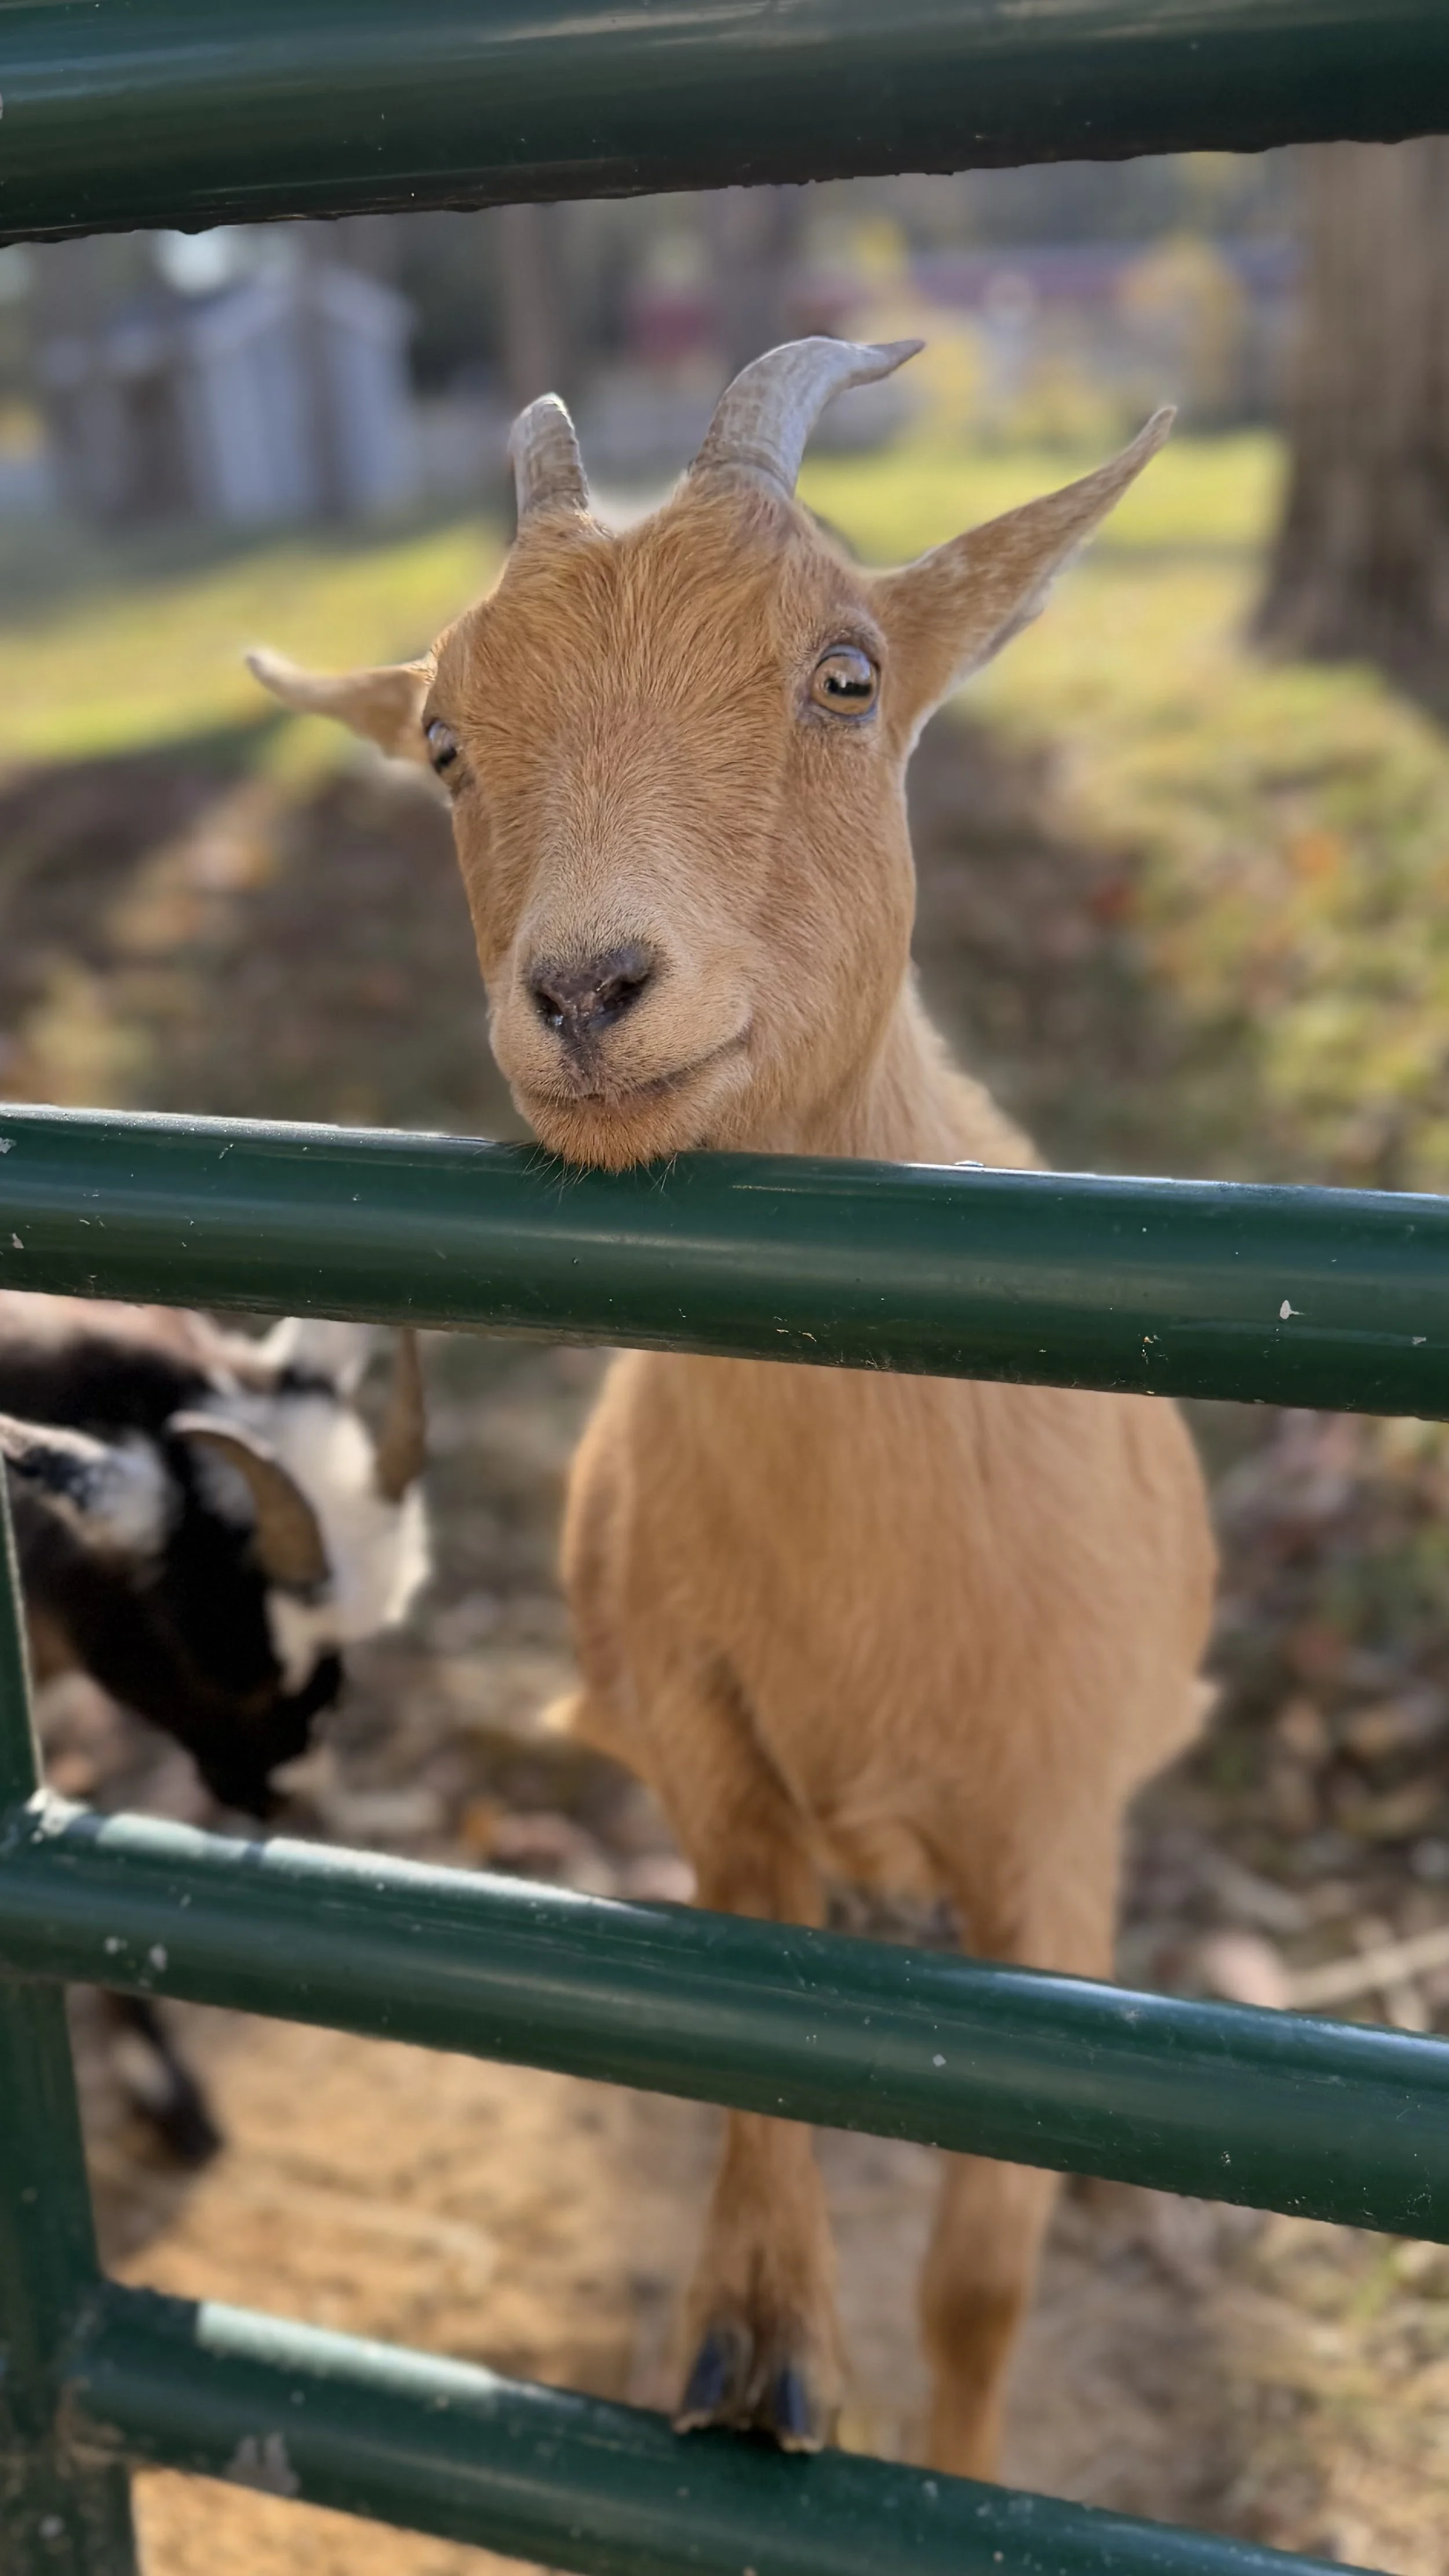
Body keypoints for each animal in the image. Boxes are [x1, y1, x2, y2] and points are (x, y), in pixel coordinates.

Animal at [250, 338, 1217, 2478]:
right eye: (441, 738)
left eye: (846, 673)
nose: (588, 987)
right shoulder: (707, 1744)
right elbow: (748, 1998)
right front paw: (755, 2340)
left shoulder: (1052, 1836)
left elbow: (983, 2274)